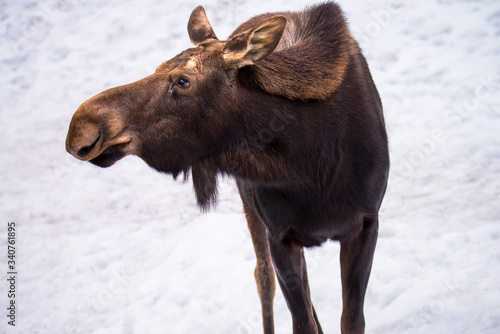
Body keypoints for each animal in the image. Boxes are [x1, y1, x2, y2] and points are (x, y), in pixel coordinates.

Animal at [64, 2, 388, 334]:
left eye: (183, 81)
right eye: (158, 67)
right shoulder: (279, 235)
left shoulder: (365, 223)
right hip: (252, 207)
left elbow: (352, 320)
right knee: (263, 277)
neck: (308, 164)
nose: (83, 126)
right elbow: (301, 320)